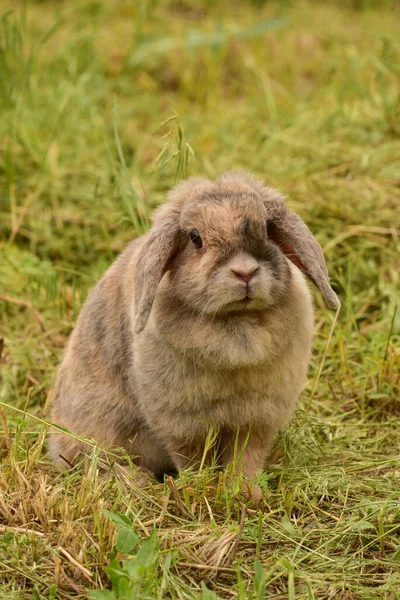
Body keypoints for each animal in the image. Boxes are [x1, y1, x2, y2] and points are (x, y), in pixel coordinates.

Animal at [48, 171, 340, 504]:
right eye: (195, 238)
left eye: (267, 228)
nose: (245, 272)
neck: (235, 321)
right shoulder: (183, 423)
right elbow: (193, 458)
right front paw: (201, 489)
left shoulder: (257, 418)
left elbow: (246, 457)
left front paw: (247, 492)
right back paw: (138, 482)